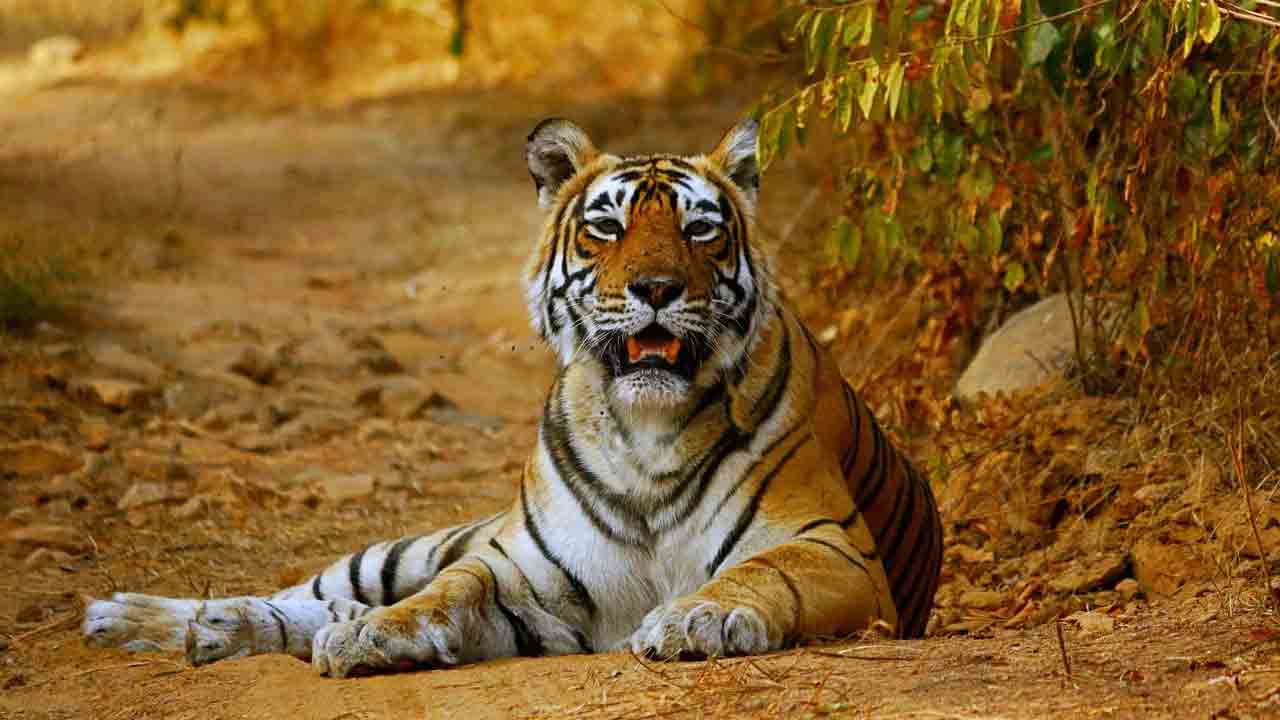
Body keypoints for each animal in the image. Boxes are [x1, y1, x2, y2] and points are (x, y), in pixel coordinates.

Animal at [82, 117, 943, 677]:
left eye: (700, 230)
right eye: (607, 228)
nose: (656, 288)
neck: (646, 430)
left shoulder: (836, 548)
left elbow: (759, 573)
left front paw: (694, 617)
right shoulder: (521, 569)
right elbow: (450, 590)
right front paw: (377, 634)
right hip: (406, 548)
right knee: (309, 594)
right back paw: (149, 618)